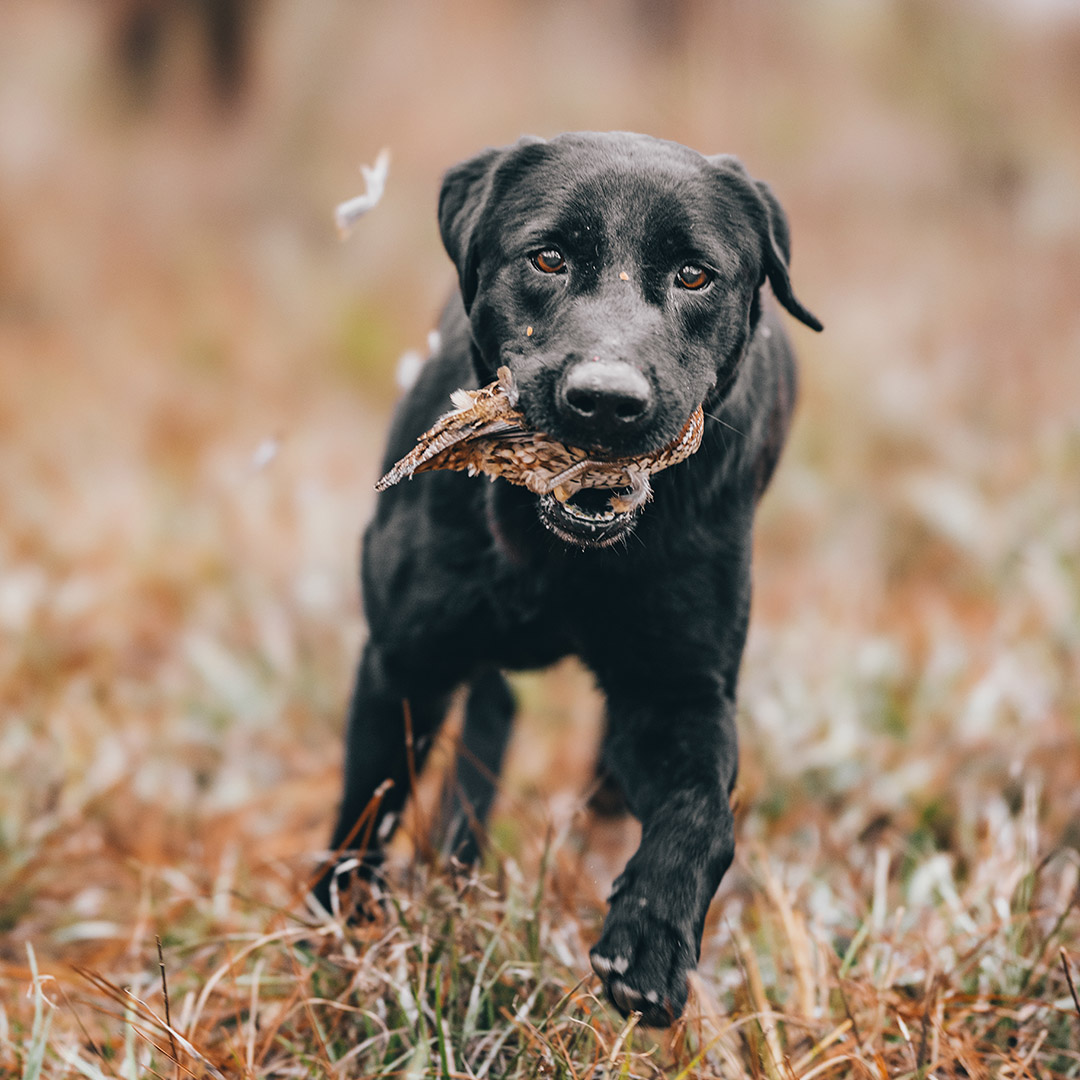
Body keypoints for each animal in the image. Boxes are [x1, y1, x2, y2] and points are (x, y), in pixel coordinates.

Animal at [315, 130, 820, 1023]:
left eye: (695, 274)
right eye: (547, 257)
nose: (607, 402)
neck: (555, 557)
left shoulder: (678, 691)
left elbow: (705, 811)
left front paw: (649, 940)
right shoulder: (404, 662)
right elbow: (366, 809)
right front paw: (339, 937)